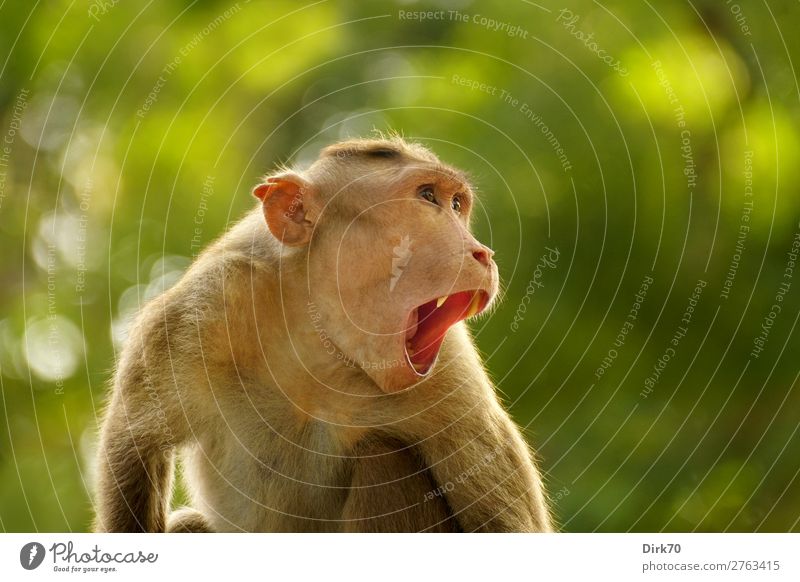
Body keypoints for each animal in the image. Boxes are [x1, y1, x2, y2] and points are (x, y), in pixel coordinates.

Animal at [92, 137, 552, 532]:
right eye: (427, 197)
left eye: (457, 204)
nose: (482, 254)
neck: (318, 346)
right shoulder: (198, 311)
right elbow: (134, 449)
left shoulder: (451, 375)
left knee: (383, 458)